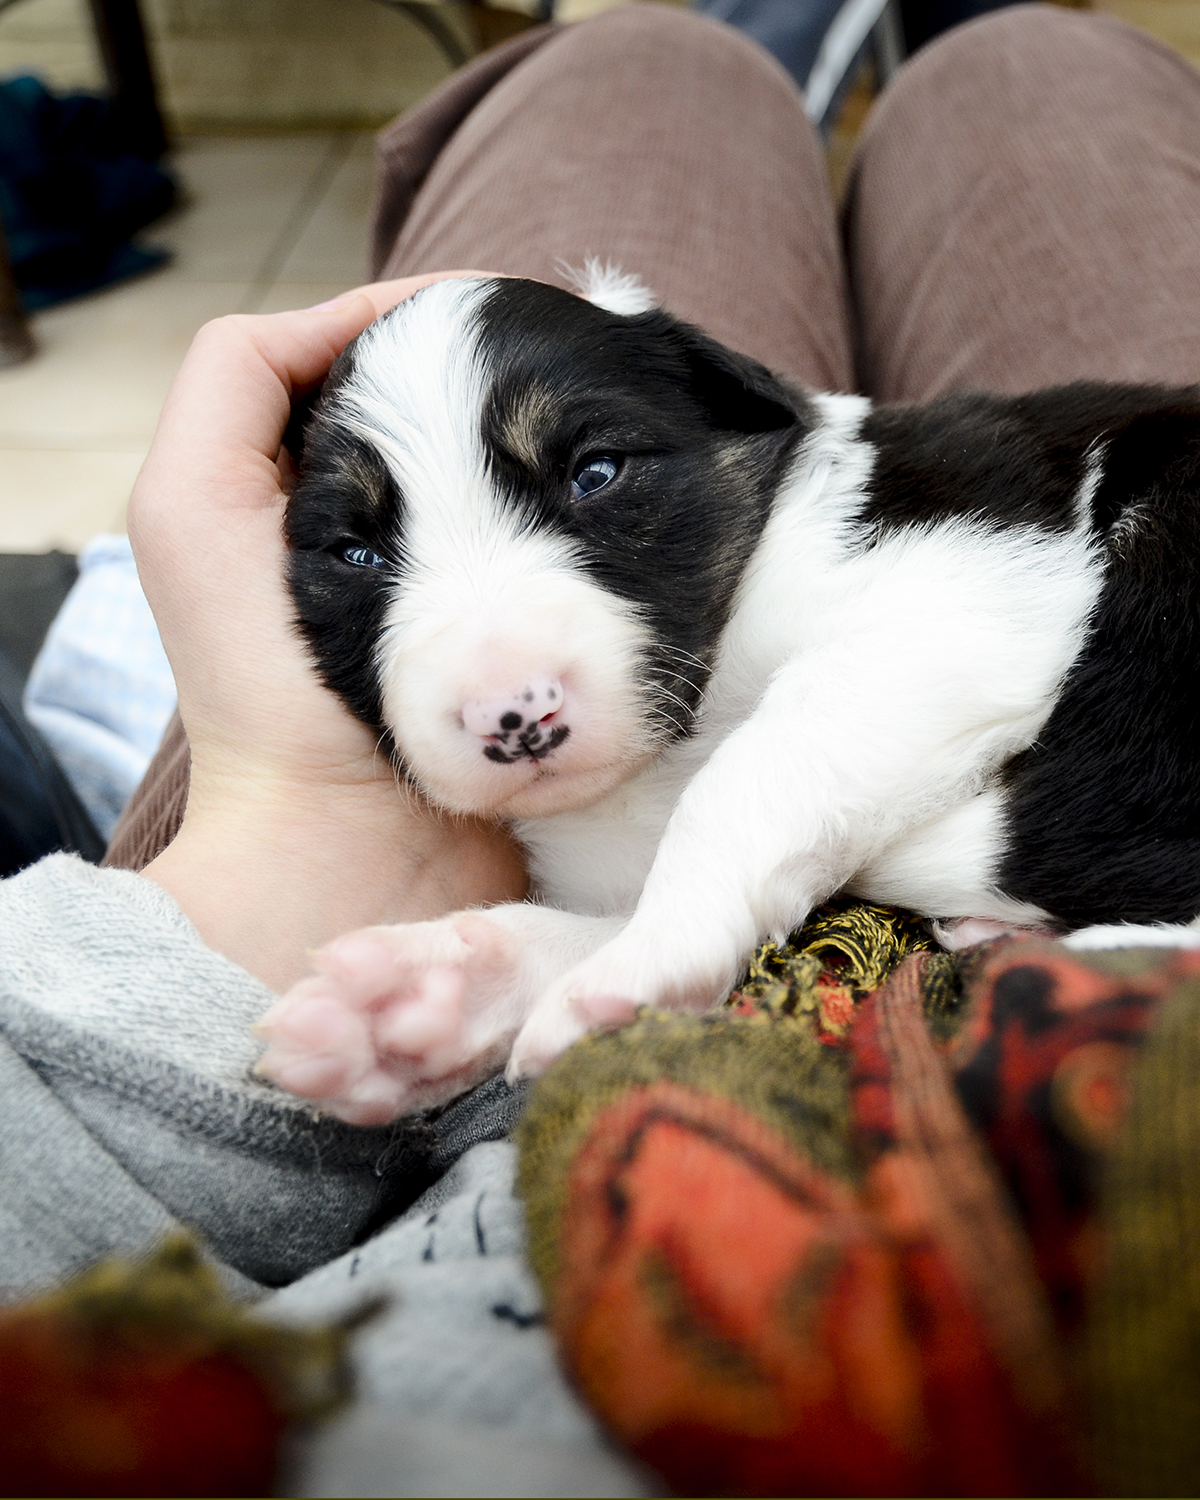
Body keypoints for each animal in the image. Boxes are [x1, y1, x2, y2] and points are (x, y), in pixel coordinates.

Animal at [258, 270, 1200, 1128]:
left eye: (596, 472)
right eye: (355, 553)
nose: (512, 716)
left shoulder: (963, 594)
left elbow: (747, 779)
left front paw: (641, 961)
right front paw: (419, 1003)